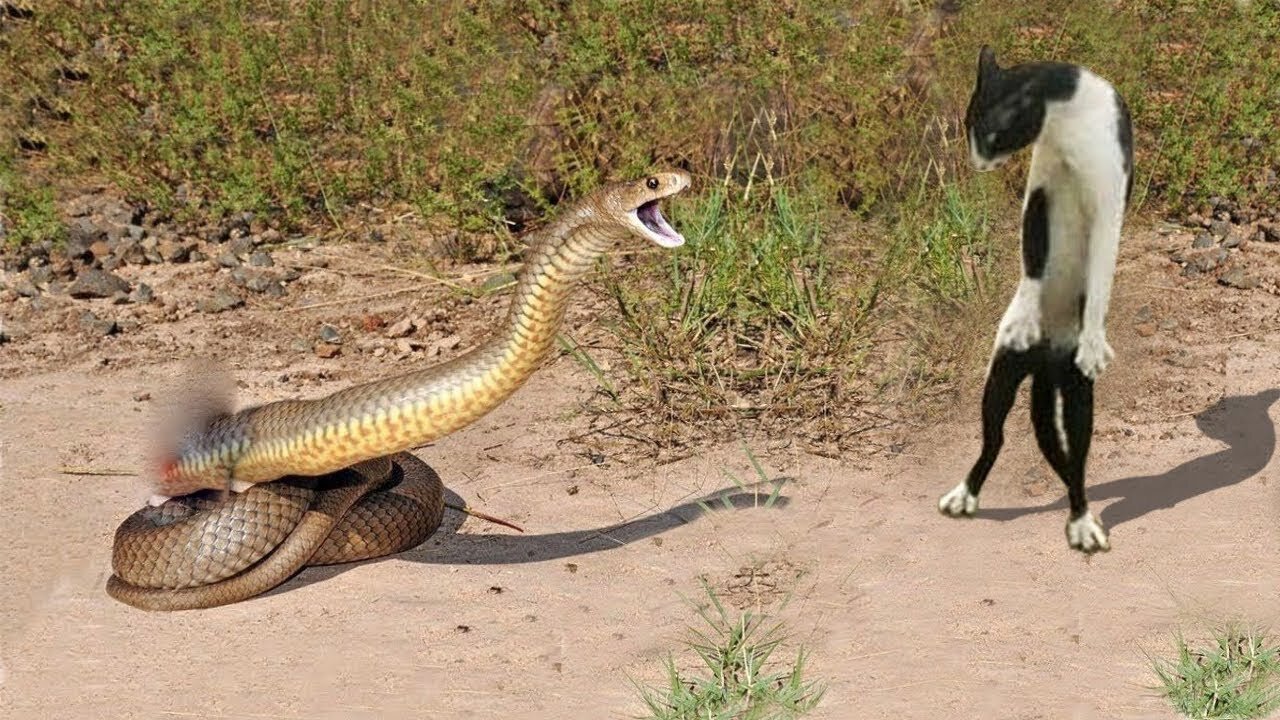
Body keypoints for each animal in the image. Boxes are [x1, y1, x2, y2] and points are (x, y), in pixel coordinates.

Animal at [936, 43, 1136, 548]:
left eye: (989, 133)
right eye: (967, 128)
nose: (976, 162)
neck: (1067, 126)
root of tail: (1046, 358)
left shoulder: (1109, 207)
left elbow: (1101, 277)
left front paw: (1095, 340)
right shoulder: (1039, 198)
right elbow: (1031, 261)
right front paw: (1025, 316)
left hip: (1076, 395)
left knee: (1077, 459)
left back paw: (1083, 523)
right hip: (1002, 377)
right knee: (995, 438)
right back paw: (964, 497)